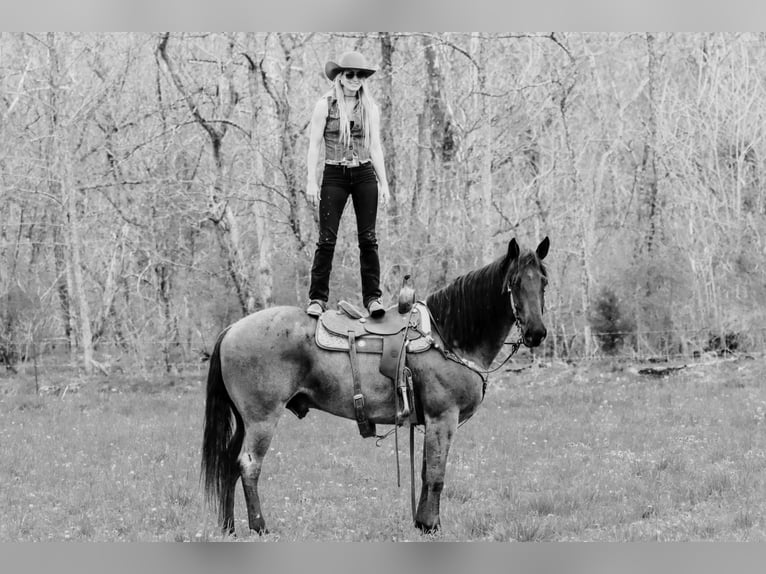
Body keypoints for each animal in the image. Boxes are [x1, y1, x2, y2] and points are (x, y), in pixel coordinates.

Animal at [202, 236, 552, 536]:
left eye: (543, 282)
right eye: (514, 283)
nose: (537, 332)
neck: (448, 336)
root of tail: (232, 328)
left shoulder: (430, 423)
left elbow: (425, 471)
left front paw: (422, 523)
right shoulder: (443, 418)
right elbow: (436, 475)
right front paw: (432, 525)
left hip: (244, 420)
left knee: (229, 465)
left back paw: (229, 527)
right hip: (261, 419)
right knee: (249, 465)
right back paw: (259, 526)